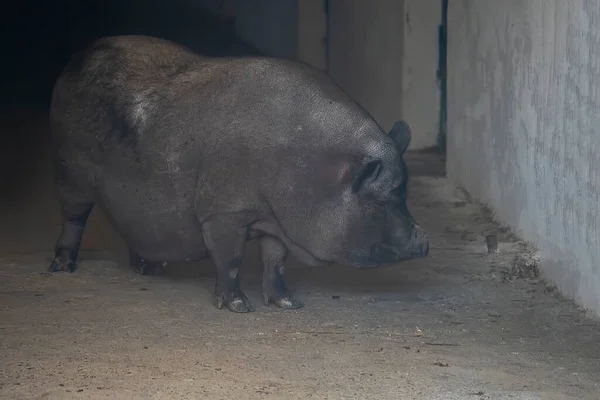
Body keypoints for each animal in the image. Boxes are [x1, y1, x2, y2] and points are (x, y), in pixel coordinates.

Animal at [49, 35, 428, 312]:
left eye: (404, 193)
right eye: (379, 201)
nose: (424, 238)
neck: (308, 171)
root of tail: (75, 60)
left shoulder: (276, 221)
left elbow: (274, 261)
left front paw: (289, 304)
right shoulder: (222, 211)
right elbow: (230, 259)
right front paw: (240, 307)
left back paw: (149, 269)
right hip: (69, 169)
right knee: (73, 217)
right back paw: (61, 268)